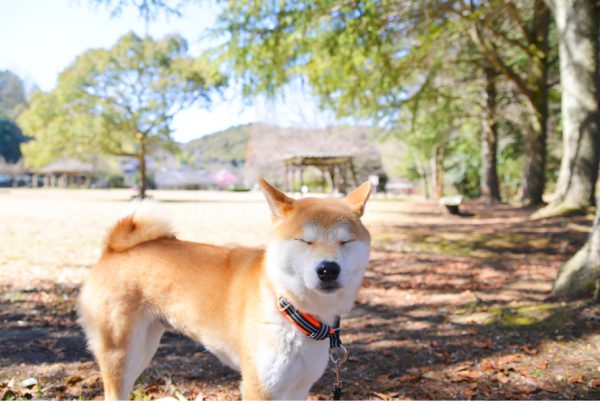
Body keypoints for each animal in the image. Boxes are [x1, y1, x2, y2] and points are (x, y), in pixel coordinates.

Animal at [78, 181, 370, 400]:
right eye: (304, 241)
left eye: (345, 241)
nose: (328, 269)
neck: (289, 307)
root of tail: (113, 249)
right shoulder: (259, 387)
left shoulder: (298, 387)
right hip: (120, 353)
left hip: (143, 348)